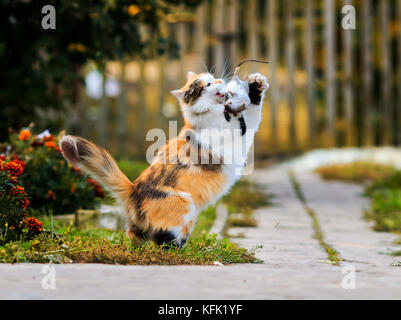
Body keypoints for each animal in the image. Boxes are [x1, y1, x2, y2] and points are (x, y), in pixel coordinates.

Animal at [59, 72, 268, 248]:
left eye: (214, 77)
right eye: (208, 84)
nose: (220, 80)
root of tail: (132, 190)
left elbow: (252, 111)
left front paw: (255, 82)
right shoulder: (237, 130)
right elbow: (251, 115)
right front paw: (255, 85)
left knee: (136, 237)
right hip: (184, 204)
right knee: (164, 241)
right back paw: (183, 253)